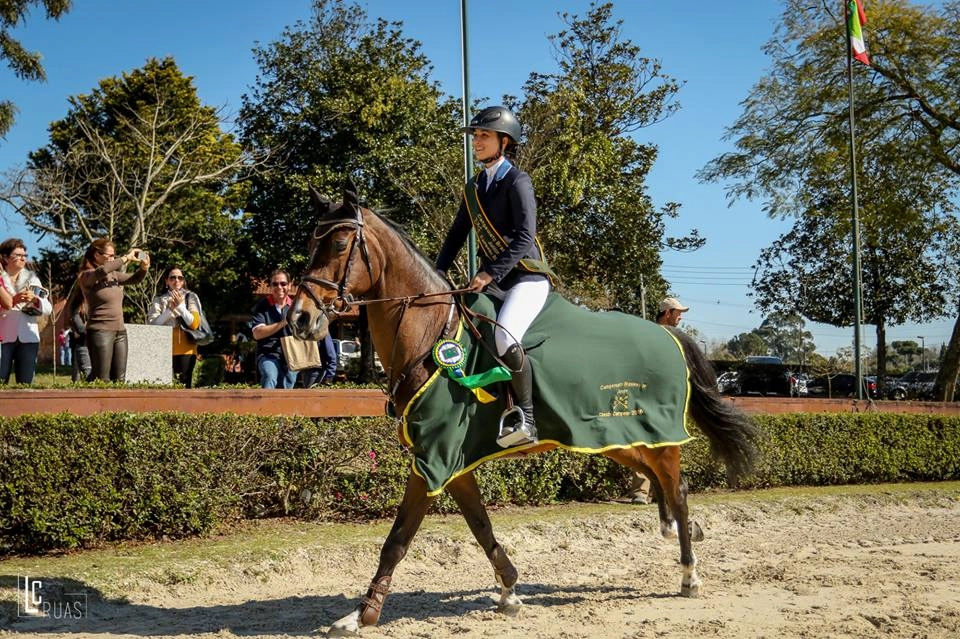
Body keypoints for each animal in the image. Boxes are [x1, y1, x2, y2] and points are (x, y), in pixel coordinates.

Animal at [284, 179, 756, 636]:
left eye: (339, 245)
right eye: (310, 242)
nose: (300, 319)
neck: (431, 333)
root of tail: (667, 334)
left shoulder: (434, 456)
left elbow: (398, 538)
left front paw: (360, 615)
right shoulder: (452, 460)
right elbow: (480, 524)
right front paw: (509, 590)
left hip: (655, 435)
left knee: (677, 488)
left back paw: (689, 574)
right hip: (614, 437)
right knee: (657, 478)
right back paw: (677, 530)